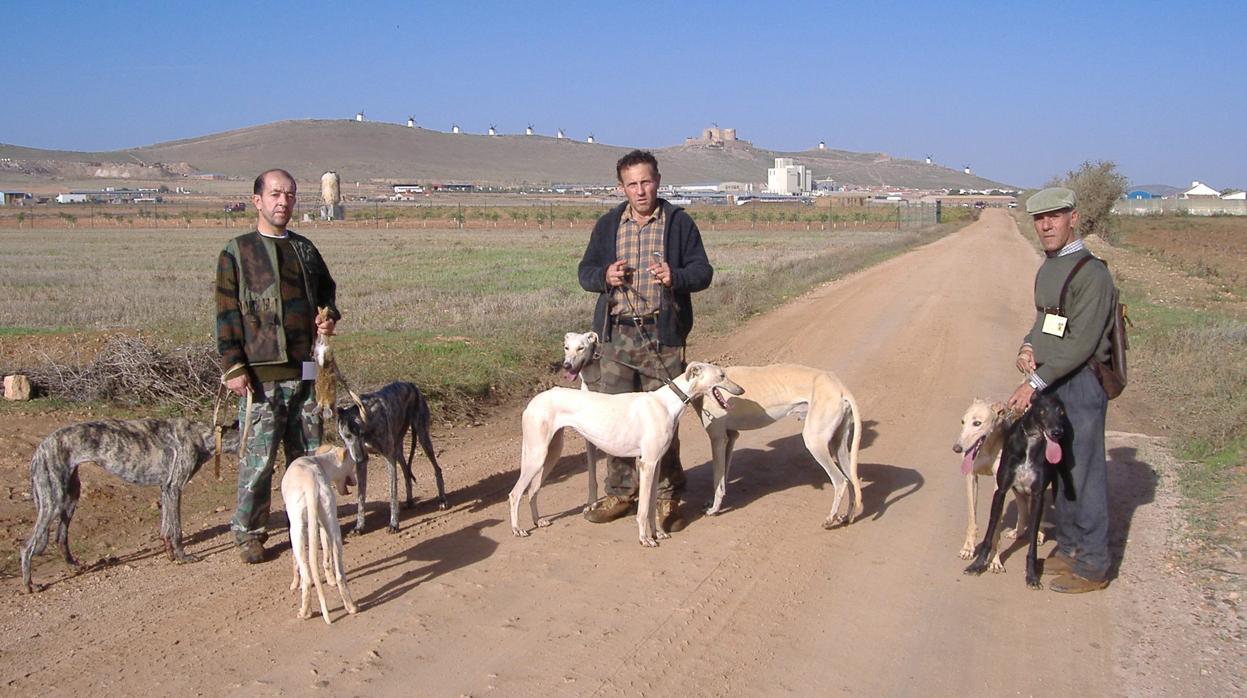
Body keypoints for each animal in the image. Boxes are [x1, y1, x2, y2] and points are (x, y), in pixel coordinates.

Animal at [283, 443, 361, 623]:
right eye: (352, 465)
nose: (355, 481)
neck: (319, 462)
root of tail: (311, 482)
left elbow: (295, 561)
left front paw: (294, 583)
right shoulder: (321, 526)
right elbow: (326, 556)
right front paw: (329, 579)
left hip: (296, 530)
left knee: (307, 577)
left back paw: (305, 612)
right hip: (333, 526)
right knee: (340, 574)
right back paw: (351, 607)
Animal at [506, 361, 738, 548]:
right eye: (722, 375)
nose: (740, 390)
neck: (666, 403)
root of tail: (534, 401)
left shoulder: (655, 464)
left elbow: (651, 504)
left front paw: (658, 533)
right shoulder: (647, 464)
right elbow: (643, 509)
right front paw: (645, 539)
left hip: (550, 453)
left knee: (532, 490)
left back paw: (538, 521)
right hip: (537, 455)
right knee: (515, 493)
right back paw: (517, 529)